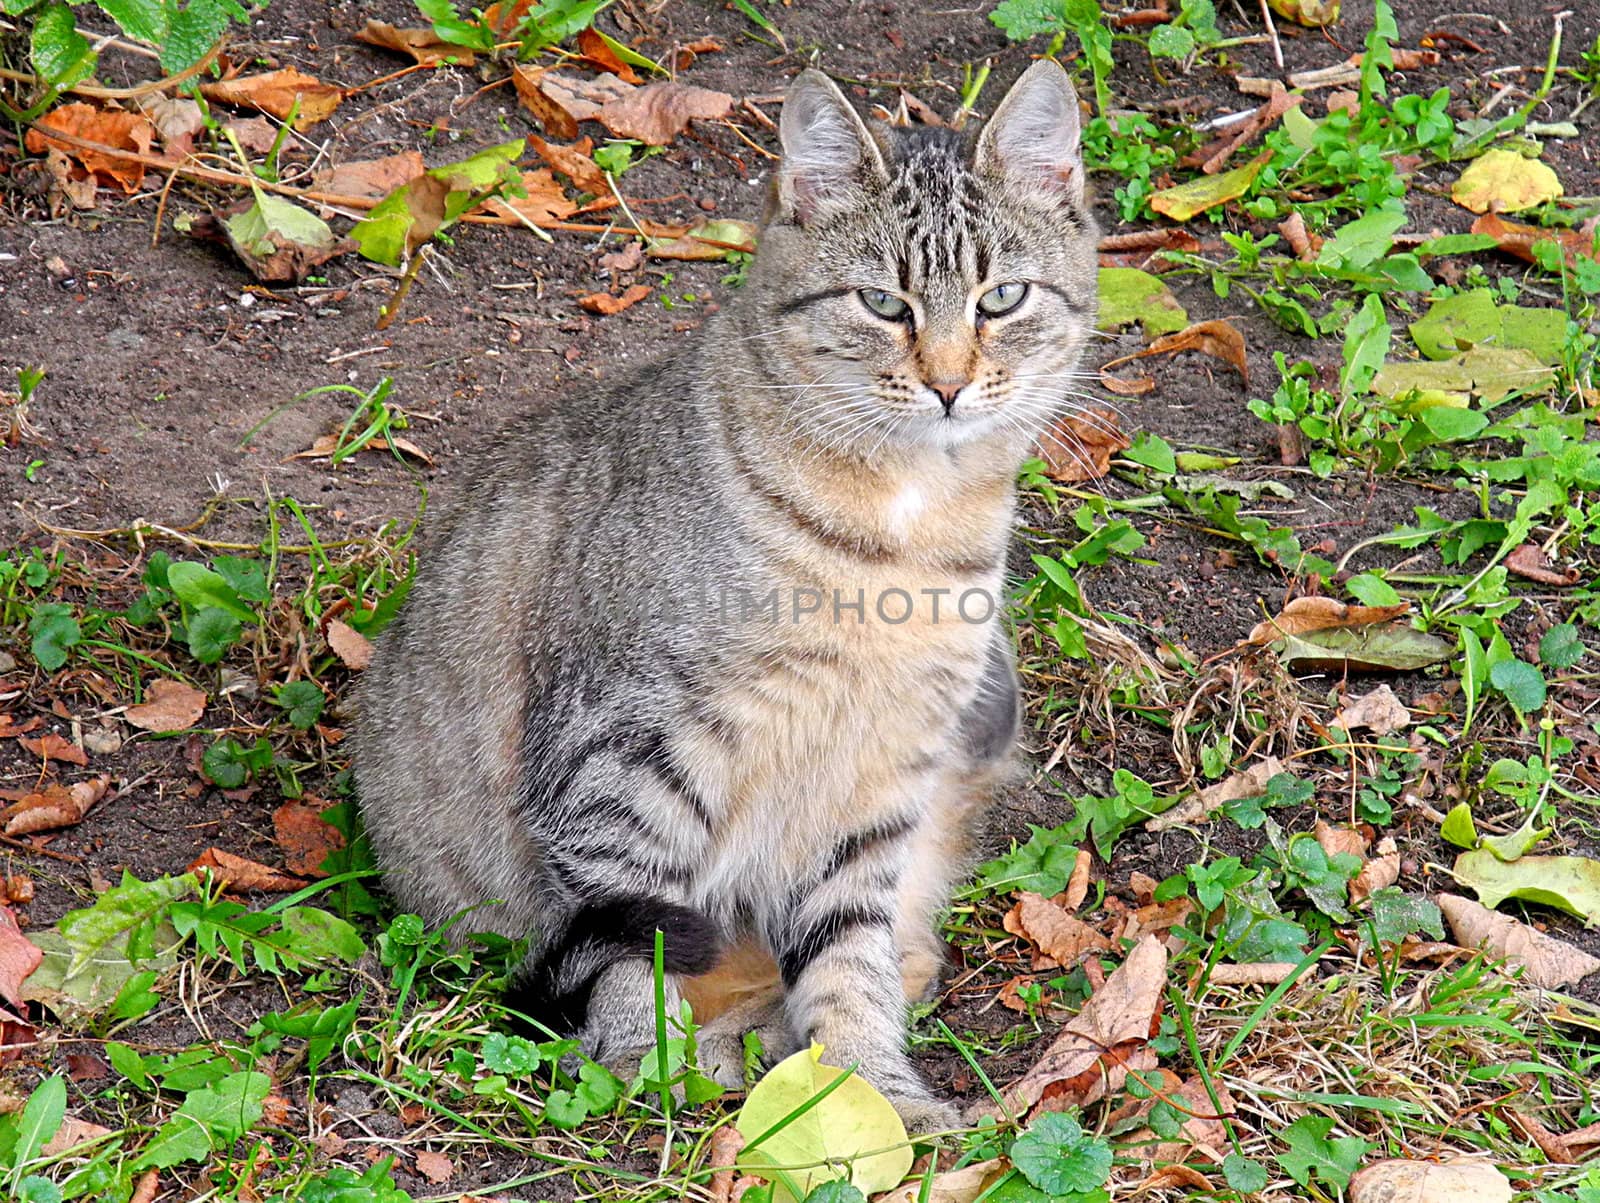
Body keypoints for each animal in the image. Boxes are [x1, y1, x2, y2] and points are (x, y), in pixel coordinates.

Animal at [353, 58, 1100, 1126]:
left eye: (1002, 297)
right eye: (882, 303)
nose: (951, 383)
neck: (902, 534)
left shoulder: (876, 774)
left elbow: (848, 956)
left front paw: (870, 1085)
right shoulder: (622, 752)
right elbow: (641, 936)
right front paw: (642, 1058)